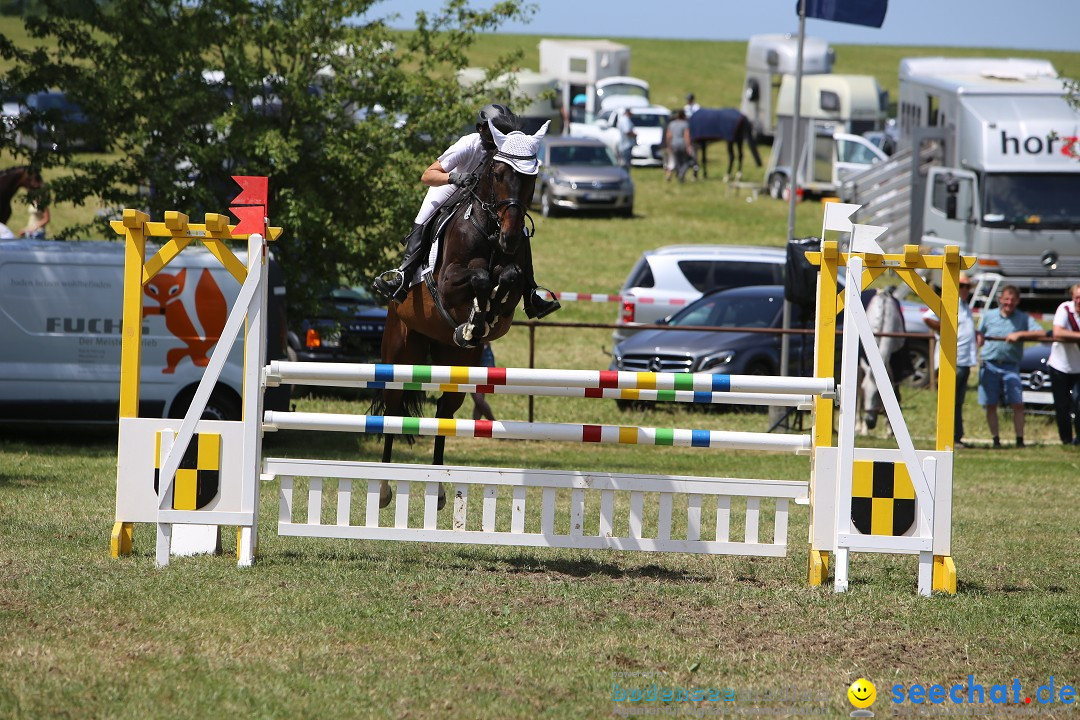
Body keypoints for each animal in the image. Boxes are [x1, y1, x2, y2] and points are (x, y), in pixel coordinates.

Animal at [378, 120, 548, 509]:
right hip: (400, 350)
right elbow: (480, 277)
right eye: (498, 173)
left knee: (445, 411)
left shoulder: (515, 278)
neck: (490, 228)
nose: (511, 237)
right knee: (392, 410)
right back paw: (383, 489)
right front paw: (476, 315)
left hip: (456, 362)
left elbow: (509, 277)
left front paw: (482, 318)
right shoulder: (447, 282)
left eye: (531, 177)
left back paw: (440, 490)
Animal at [855, 284, 907, 433]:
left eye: (879, 394)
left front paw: (889, 428)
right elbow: (859, 393)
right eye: (865, 388)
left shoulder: (896, 362)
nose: (870, 421)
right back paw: (858, 425)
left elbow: (895, 391)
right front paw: (863, 428)